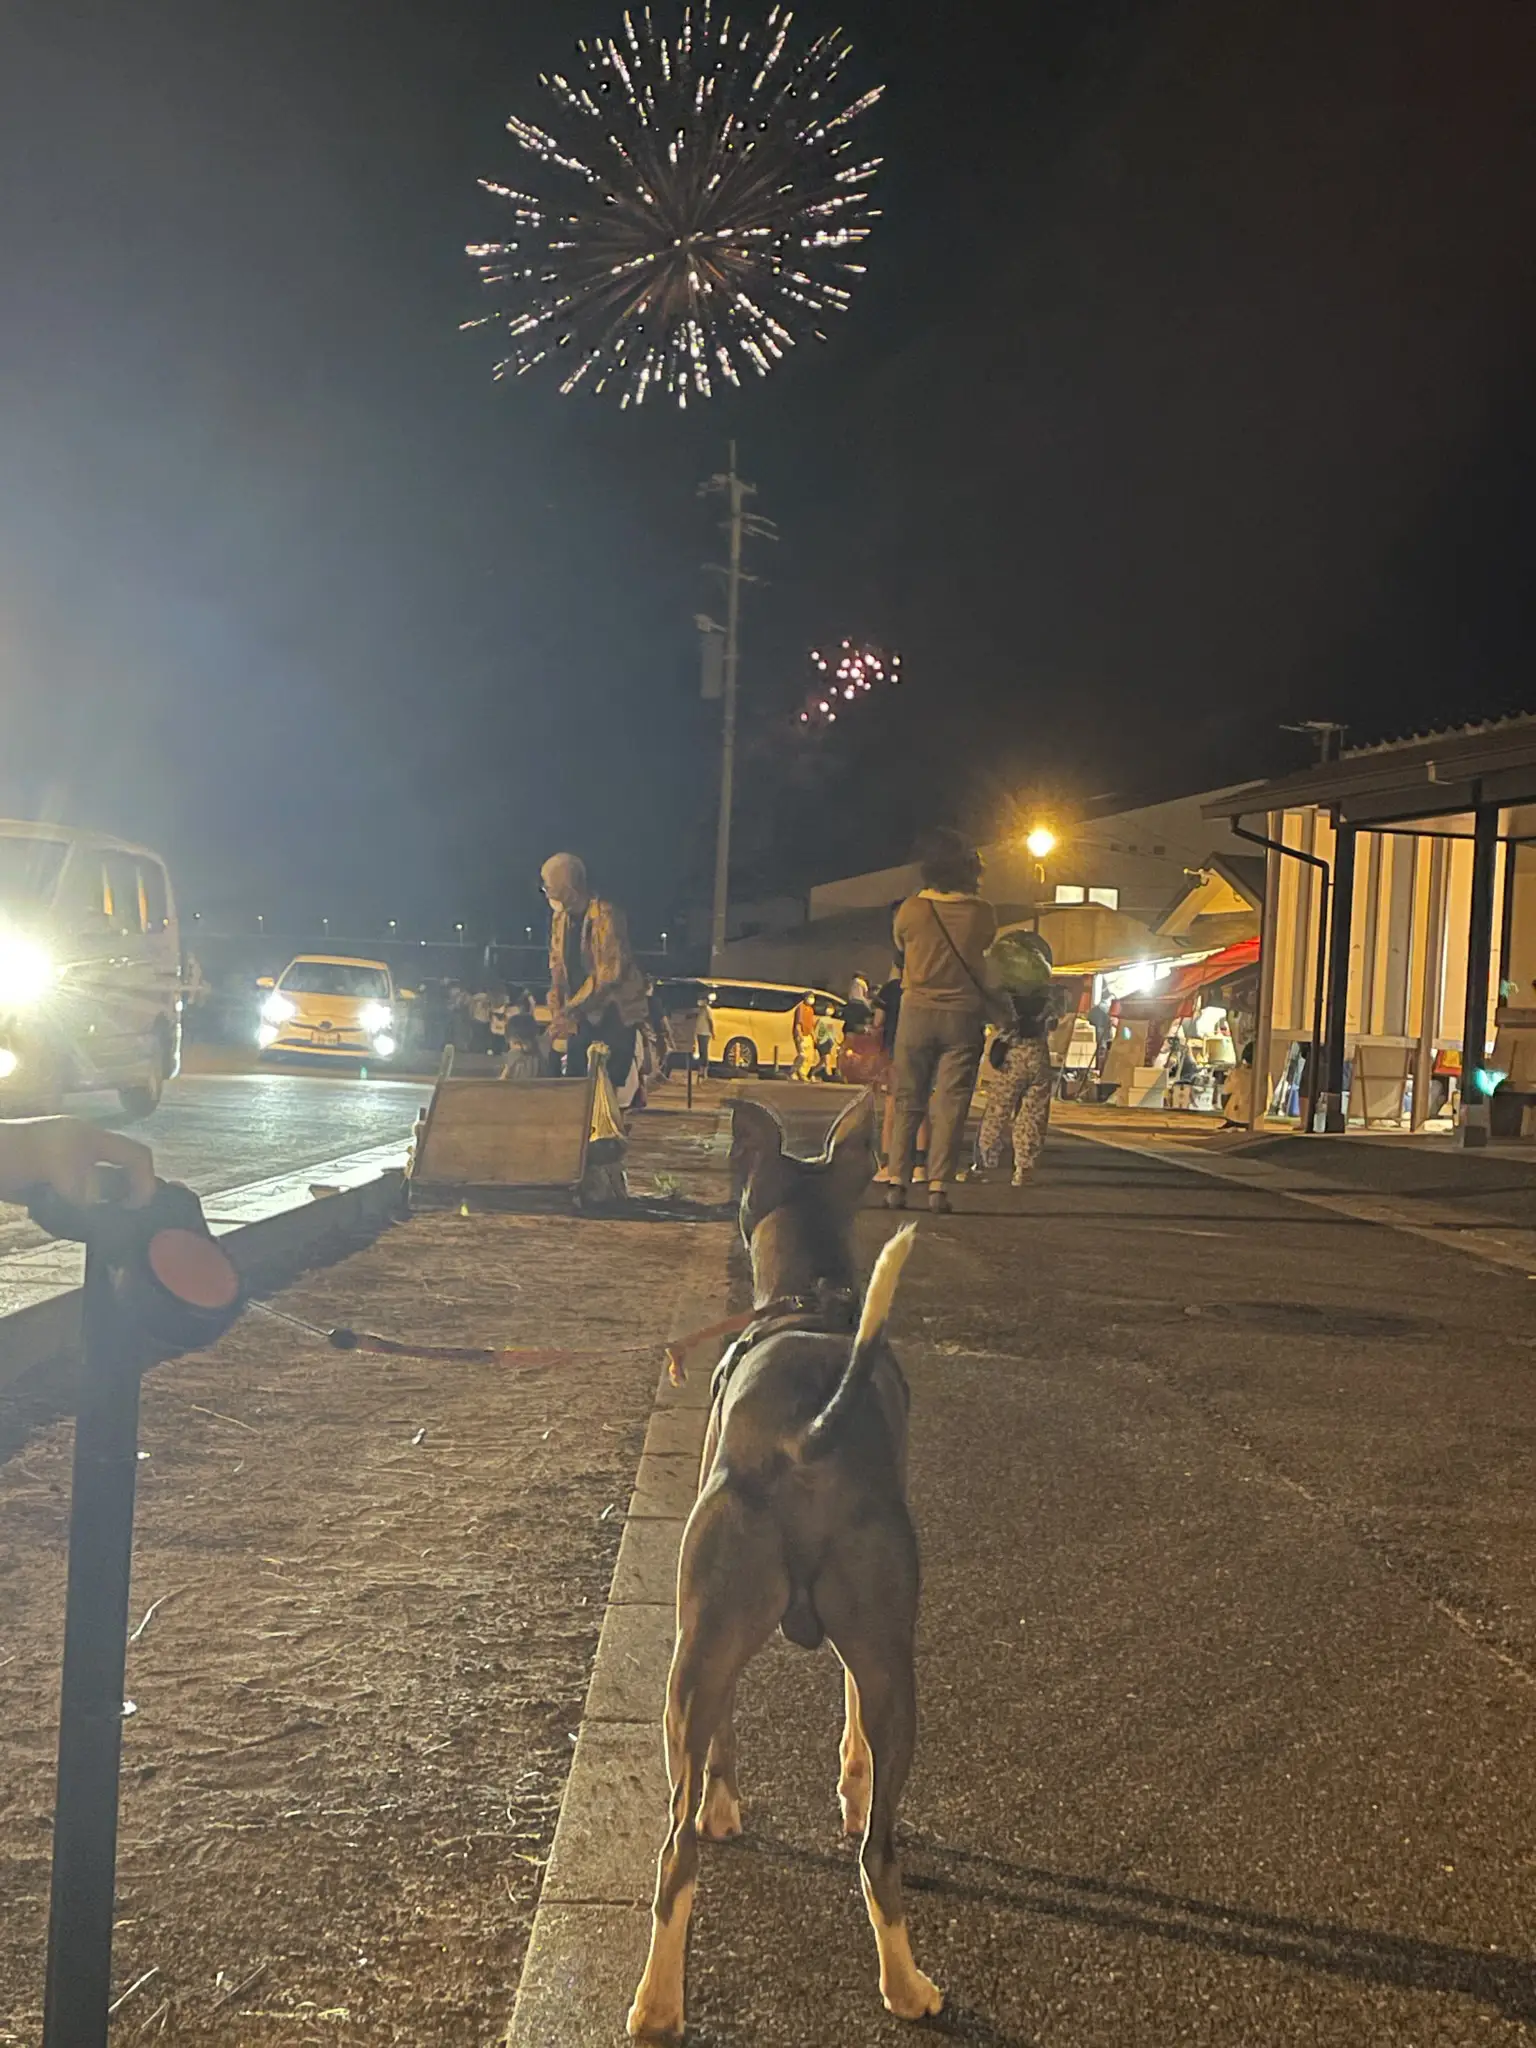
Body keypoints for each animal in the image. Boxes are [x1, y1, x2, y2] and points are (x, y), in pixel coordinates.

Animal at [622, 1097, 937, 2039]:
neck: (812, 1302)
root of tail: (808, 1436)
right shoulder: (849, 1653)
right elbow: (850, 1723)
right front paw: (844, 1787)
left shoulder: (709, 1643)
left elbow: (726, 1744)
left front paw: (725, 1804)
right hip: (880, 1658)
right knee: (879, 1850)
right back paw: (904, 1982)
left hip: (696, 1656)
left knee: (677, 1847)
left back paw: (658, 2002)